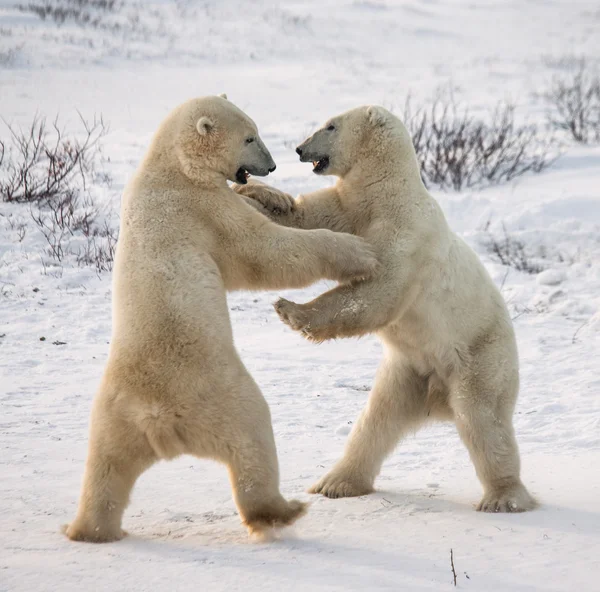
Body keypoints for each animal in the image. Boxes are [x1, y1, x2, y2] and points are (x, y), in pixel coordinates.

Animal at [62, 95, 380, 544]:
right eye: (249, 137)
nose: (273, 165)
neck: (171, 167)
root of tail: (162, 422)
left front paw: (277, 198)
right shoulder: (203, 207)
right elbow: (265, 252)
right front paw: (359, 253)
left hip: (113, 416)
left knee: (105, 470)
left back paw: (86, 529)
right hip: (221, 396)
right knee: (253, 438)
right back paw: (283, 510)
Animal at [233, 104, 536, 512]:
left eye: (331, 126)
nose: (299, 149)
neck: (385, 193)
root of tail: (438, 394)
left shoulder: (406, 233)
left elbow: (378, 291)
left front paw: (290, 310)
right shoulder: (348, 208)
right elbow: (307, 218)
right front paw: (257, 193)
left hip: (480, 357)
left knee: (483, 419)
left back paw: (504, 498)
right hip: (408, 370)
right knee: (377, 420)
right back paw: (335, 482)